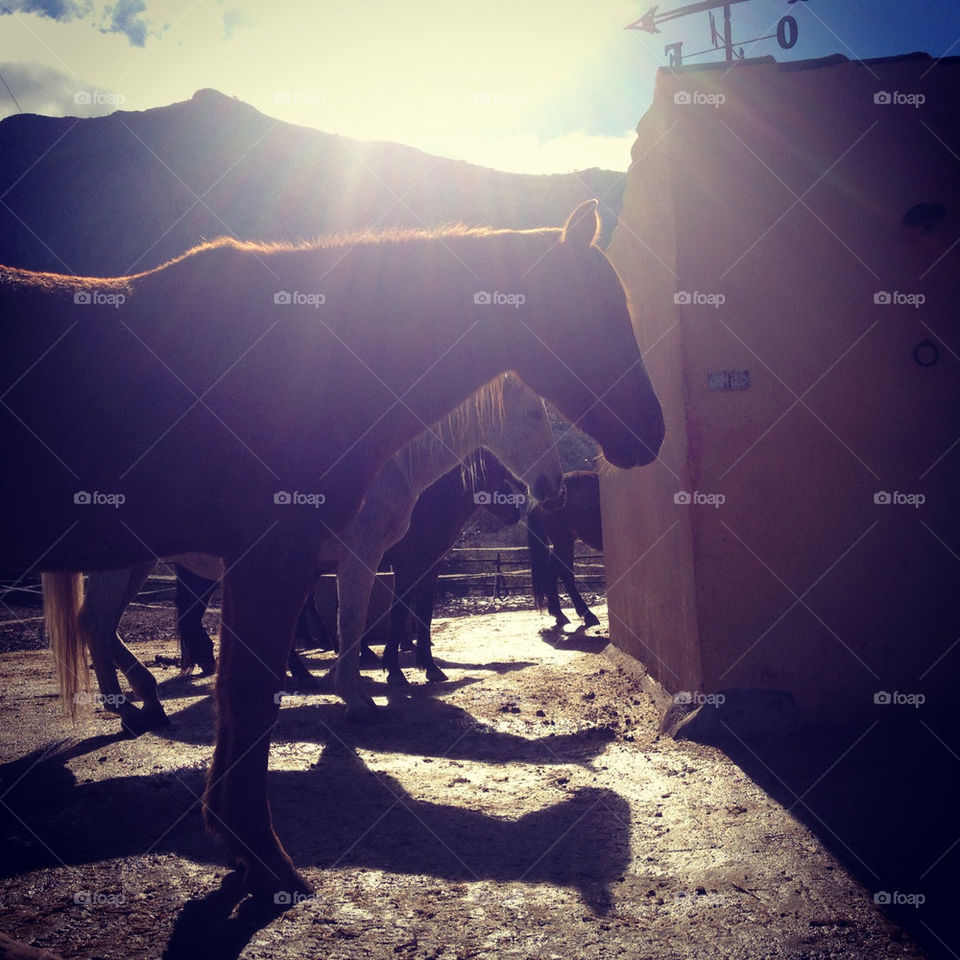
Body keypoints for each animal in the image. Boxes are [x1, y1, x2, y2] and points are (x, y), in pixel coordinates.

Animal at [378, 450, 526, 685]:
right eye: (499, 479)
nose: (515, 513)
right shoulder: (406, 567)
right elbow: (399, 612)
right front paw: (394, 671)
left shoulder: (429, 568)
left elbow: (424, 612)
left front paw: (430, 667)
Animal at [527, 470, 604, 629]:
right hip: (563, 539)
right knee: (563, 572)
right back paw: (586, 615)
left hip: (565, 541)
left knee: (554, 570)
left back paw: (559, 614)